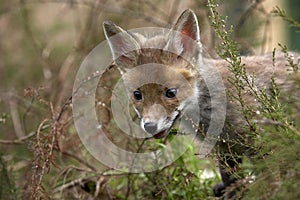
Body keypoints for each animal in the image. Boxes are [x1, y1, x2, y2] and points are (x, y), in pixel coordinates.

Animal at [103, 8, 300, 198]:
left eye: (171, 93)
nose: (150, 126)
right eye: (137, 95)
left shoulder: (259, 138)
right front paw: (232, 192)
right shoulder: (224, 147)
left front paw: (271, 193)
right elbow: (230, 176)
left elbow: (270, 177)